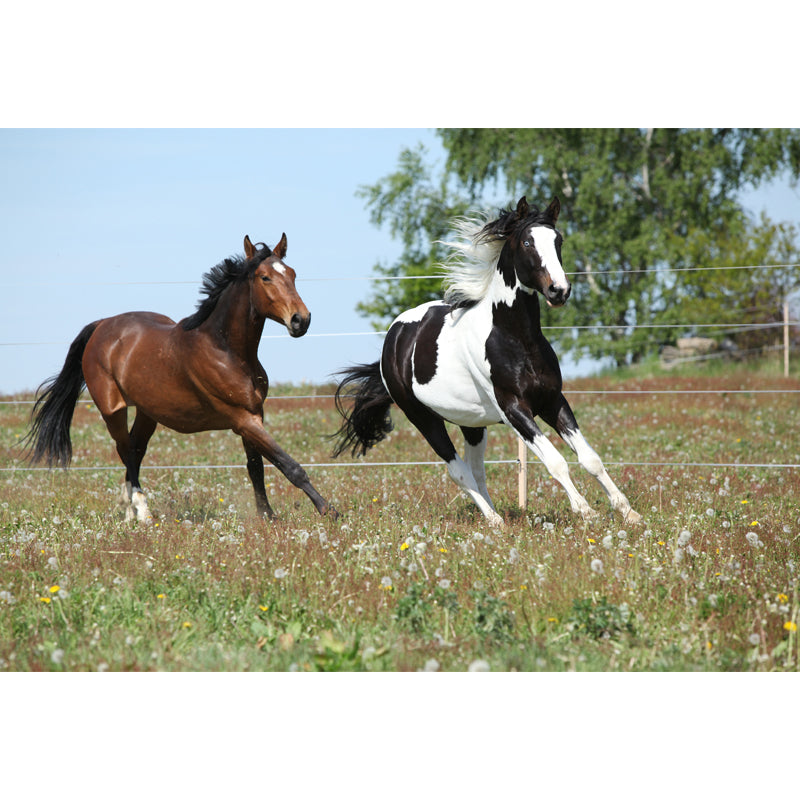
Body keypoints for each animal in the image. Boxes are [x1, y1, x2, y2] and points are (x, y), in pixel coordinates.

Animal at [23, 233, 337, 522]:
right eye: (265, 277)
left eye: (293, 274)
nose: (301, 320)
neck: (227, 351)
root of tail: (102, 325)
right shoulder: (241, 418)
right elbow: (288, 465)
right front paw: (328, 510)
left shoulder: (254, 414)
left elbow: (256, 467)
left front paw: (267, 517)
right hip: (112, 409)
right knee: (125, 450)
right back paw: (142, 510)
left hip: (148, 413)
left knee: (135, 449)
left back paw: (129, 511)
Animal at [332, 196, 640, 527]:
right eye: (528, 242)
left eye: (558, 240)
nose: (559, 291)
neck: (516, 339)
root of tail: (394, 336)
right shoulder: (514, 410)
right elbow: (556, 462)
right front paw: (586, 511)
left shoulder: (552, 401)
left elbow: (590, 458)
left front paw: (628, 512)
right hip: (423, 418)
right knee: (458, 470)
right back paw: (494, 520)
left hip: (472, 423)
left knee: (476, 470)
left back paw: (497, 519)